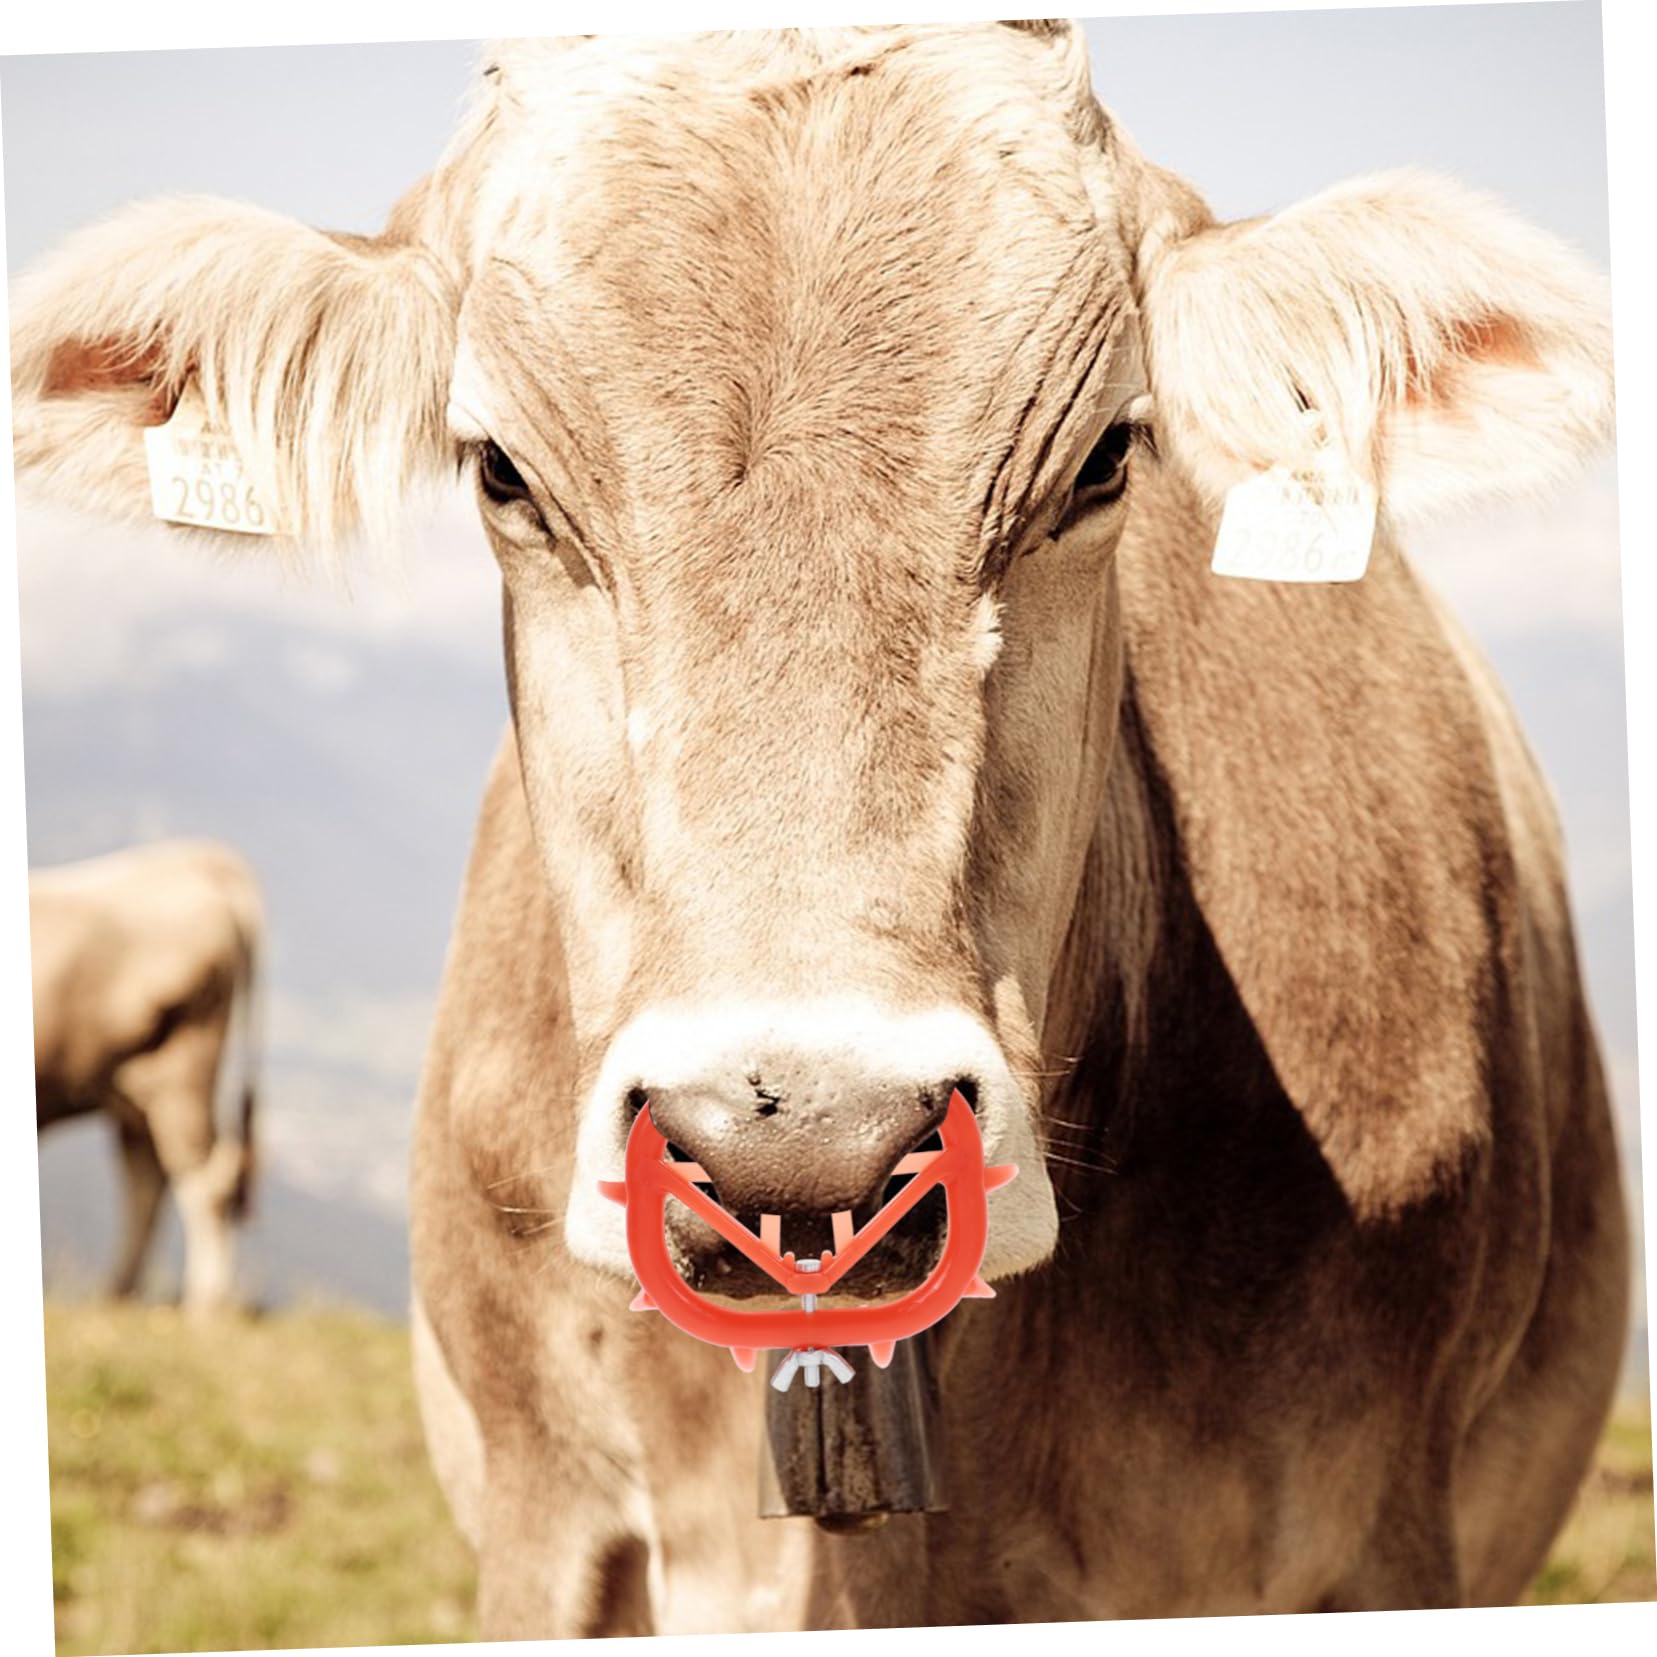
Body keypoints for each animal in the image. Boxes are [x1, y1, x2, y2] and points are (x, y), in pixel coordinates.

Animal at [29, 840, 262, 1314]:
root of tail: (197, 857)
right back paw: (118, 1295)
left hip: (182, 1070)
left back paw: (203, 1305)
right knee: (146, 1180)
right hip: (136, 1088)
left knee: (204, 1181)